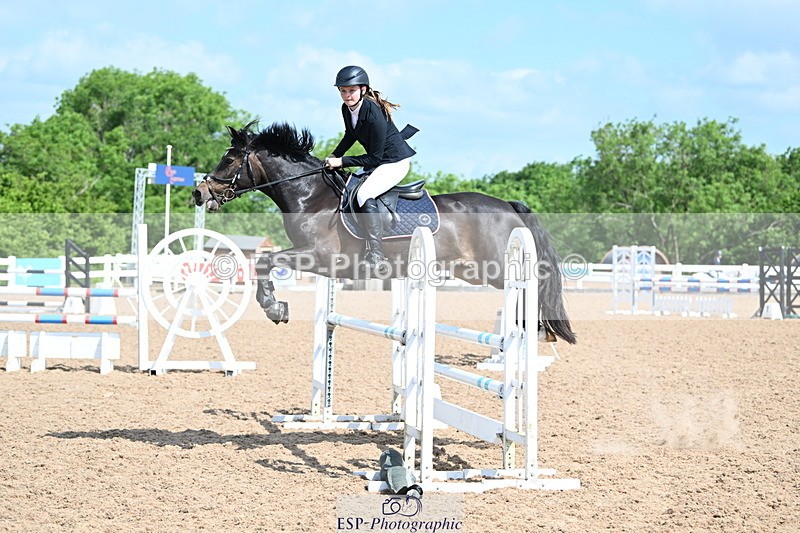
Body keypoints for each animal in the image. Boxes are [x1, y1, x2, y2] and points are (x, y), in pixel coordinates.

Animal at [193, 121, 577, 344]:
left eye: (229, 160)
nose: (199, 193)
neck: (311, 195)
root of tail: (508, 205)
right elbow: (264, 263)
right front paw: (276, 305)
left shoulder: (320, 257)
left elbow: (264, 262)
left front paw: (274, 307)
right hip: (473, 271)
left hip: (496, 268)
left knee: (533, 287)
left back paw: (539, 332)